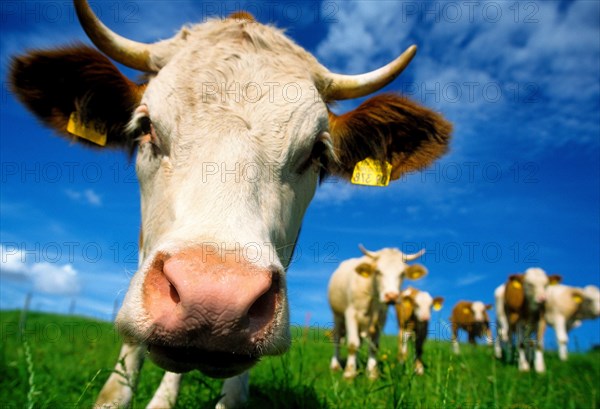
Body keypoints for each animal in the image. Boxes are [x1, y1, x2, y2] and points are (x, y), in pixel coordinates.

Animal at [326, 244, 428, 378]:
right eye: (378, 271)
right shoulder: (351, 314)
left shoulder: (381, 318)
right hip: (337, 315)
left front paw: (372, 373)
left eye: (402, 273)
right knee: (338, 339)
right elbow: (352, 344)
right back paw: (335, 365)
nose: (391, 296)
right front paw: (349, 374)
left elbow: (374, 346)